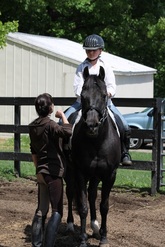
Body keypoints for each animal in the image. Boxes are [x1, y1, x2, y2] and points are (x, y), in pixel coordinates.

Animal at [65, 66, 120, 247]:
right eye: (83, 96)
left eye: (104, 95)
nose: (91, 125)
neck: (97, 141)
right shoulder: (80, 173)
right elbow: (82, 207)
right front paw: (82, 239)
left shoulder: (110, 175)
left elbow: (103, 206)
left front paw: (103, 237)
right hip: (69, 171)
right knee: (70, 192)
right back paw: (69, 224)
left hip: (95, 175)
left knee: (92, 194)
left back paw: (95, 227)